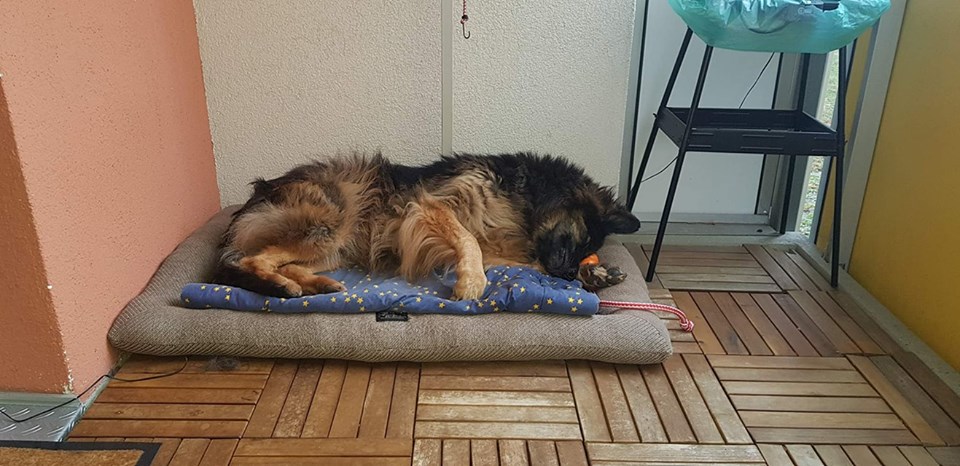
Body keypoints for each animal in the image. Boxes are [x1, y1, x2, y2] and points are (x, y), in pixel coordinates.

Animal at [213, 152, 641, 299]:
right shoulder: (431, 206)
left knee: (279, 262)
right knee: (250, 261)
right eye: (581, 238)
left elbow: (514, 260)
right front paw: (471, 284)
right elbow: (467, 240)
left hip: (333, 247)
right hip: (330, 220)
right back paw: (282, 287)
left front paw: (595, 276)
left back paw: (319, 285)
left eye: (588, 249)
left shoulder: (505, 251)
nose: (567, 276)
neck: (526, 200)